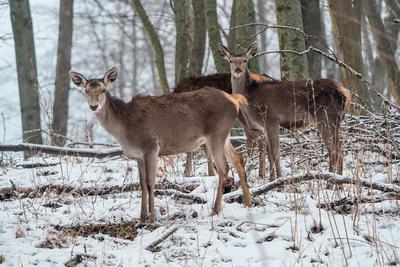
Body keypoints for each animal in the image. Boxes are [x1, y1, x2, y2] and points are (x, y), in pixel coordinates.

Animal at [69, 66, 256, 224]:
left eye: (103, 89)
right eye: (86, 90)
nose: (94, 106)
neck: (124, 130)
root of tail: (234, 100)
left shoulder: (151, 147)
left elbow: (150, 183)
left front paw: (152, 218)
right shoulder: (138, 156)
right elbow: (141, 184)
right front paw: (142, 217)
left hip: (216, 134)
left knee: (224, 168)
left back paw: (215, 210)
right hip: (225, 135)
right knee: (238, 160)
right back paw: (248, 202)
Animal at [217, 42, 352, 180]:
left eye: (245, 60)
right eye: (231, 60)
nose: (237, 70)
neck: (250, 98)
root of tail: (345, 93)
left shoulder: (271, 119)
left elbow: (276, 152)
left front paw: (280, 178)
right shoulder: (264, 126)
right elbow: (270, 153)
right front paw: (272, 179)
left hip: (325, 118)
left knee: (335, 148)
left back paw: (332, 177)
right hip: (334, 120)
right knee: (339, 145)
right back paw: (337, 176)